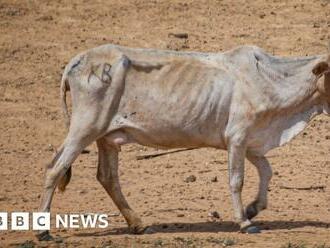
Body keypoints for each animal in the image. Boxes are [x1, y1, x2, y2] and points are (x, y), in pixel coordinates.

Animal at [36, 44, 330, 240]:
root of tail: (79, 59)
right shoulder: (237, 137)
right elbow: (237, 180)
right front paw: (245, 222)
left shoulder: (252, 142)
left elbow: (267, 171)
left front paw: (254, 208)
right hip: (84, 128)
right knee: (54, 169)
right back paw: (43, 231)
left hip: (106, 137)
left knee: (107, 176)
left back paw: (138, 224)